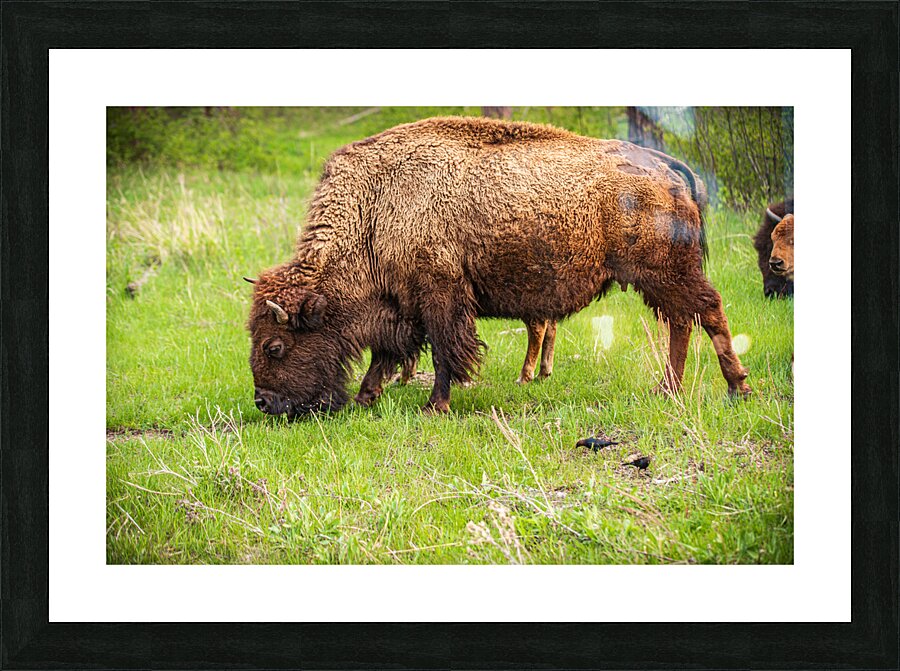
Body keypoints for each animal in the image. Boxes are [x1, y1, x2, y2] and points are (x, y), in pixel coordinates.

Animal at [247, 117, 750, 417]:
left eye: (275, 346)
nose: (264, 403)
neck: (373, 208)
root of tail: (669, 167)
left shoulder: (441, 296)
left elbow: (445, 352)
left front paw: (435, 405)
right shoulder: (406, 304)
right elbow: (390, 352)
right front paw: (367, 396)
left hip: (664, 273)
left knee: (707, 310)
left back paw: (735, 388)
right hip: (661, 279)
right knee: (684, 320)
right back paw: (669, 390)